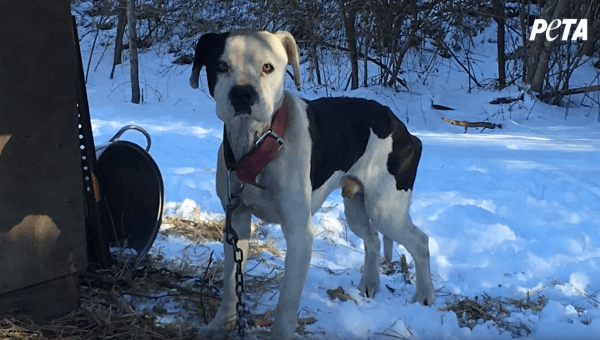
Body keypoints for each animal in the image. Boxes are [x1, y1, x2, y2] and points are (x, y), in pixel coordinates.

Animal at [190, 29, 434, 340]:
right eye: (220, 65)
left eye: (267, 67)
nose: (243, 93)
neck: (259, 145)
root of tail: (400, 126)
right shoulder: (237, 221)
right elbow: (232, 284)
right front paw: (221, 324)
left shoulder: (299, 234)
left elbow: (285, 305)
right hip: (356, 205)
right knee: (372, 239)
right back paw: (370, 284)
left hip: (386, 209)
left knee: (420, 241)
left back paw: (425, 295)